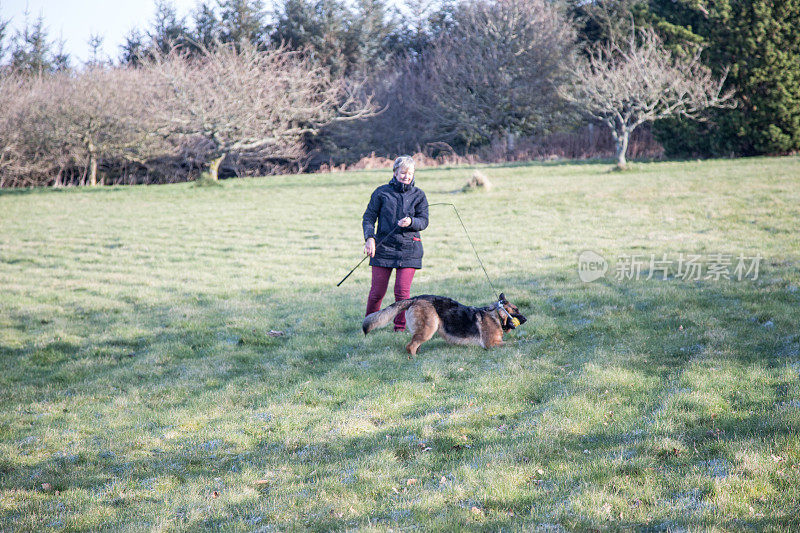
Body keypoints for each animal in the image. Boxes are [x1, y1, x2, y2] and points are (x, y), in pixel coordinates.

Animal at [362, 294, 524, 356]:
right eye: (516, 310)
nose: (526, 319)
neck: (496, 314)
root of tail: (415, 298)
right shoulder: (492, 344)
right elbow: (514, 343)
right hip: (429, 328)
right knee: (410, 346)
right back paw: (415, 358)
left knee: (414, 343)